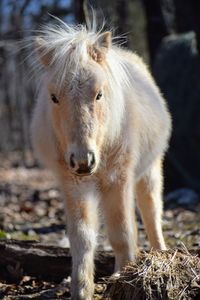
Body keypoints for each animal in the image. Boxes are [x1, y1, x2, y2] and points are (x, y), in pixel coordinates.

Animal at [31, 19, 172, 300]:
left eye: (99, 94)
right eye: (54, 97)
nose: (83, 161)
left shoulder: (118, 180)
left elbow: (122, 233)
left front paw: (126, 280)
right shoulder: (74, 187)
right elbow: (83, 239)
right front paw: (81, 290)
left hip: (149, 173)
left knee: (151, 213)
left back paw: (160, 256)